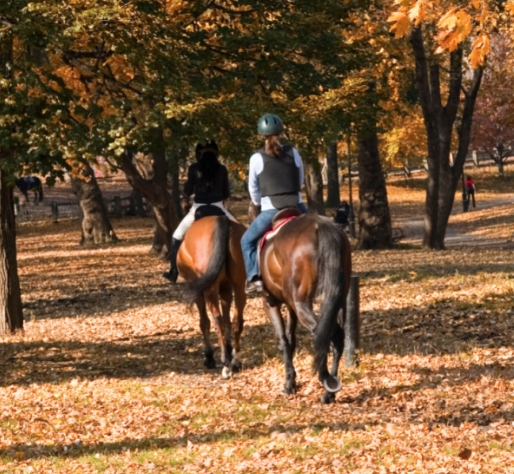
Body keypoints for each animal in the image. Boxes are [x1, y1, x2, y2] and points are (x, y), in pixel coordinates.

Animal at [177, 215, 247, 378]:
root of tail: (222, 220)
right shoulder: (226, 288)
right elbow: (228, 320)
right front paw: (229, 350)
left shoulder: (199, 291)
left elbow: (204, 322)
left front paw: (209, 357)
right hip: (239, 285)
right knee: (237, 320)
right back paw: (235, 361)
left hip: (209, 290)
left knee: (216, 320)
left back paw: (225, 364)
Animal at [254, 207, 350, 404]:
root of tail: (320, 226)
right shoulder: (291, 307)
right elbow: (291, 340)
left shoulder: (270, 303)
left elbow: (283, 340)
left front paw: (289, 384)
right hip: (338, 299)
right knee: (337, 336)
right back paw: (330, 391)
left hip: (301, 304)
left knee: (325, 334)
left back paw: (325, 379)